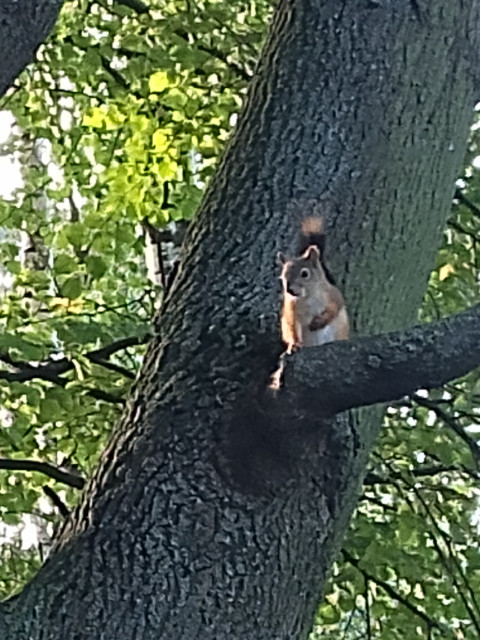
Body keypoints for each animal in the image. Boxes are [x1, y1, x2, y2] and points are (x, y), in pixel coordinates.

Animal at [278, 218, 348, 352]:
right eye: (283, 276)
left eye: (305, 274)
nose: (290, 290)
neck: (307, 297)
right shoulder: (292, 310)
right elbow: (293, 327)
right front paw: (295, 345)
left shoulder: (333, 295)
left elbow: (334, 309)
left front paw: (319, 322)